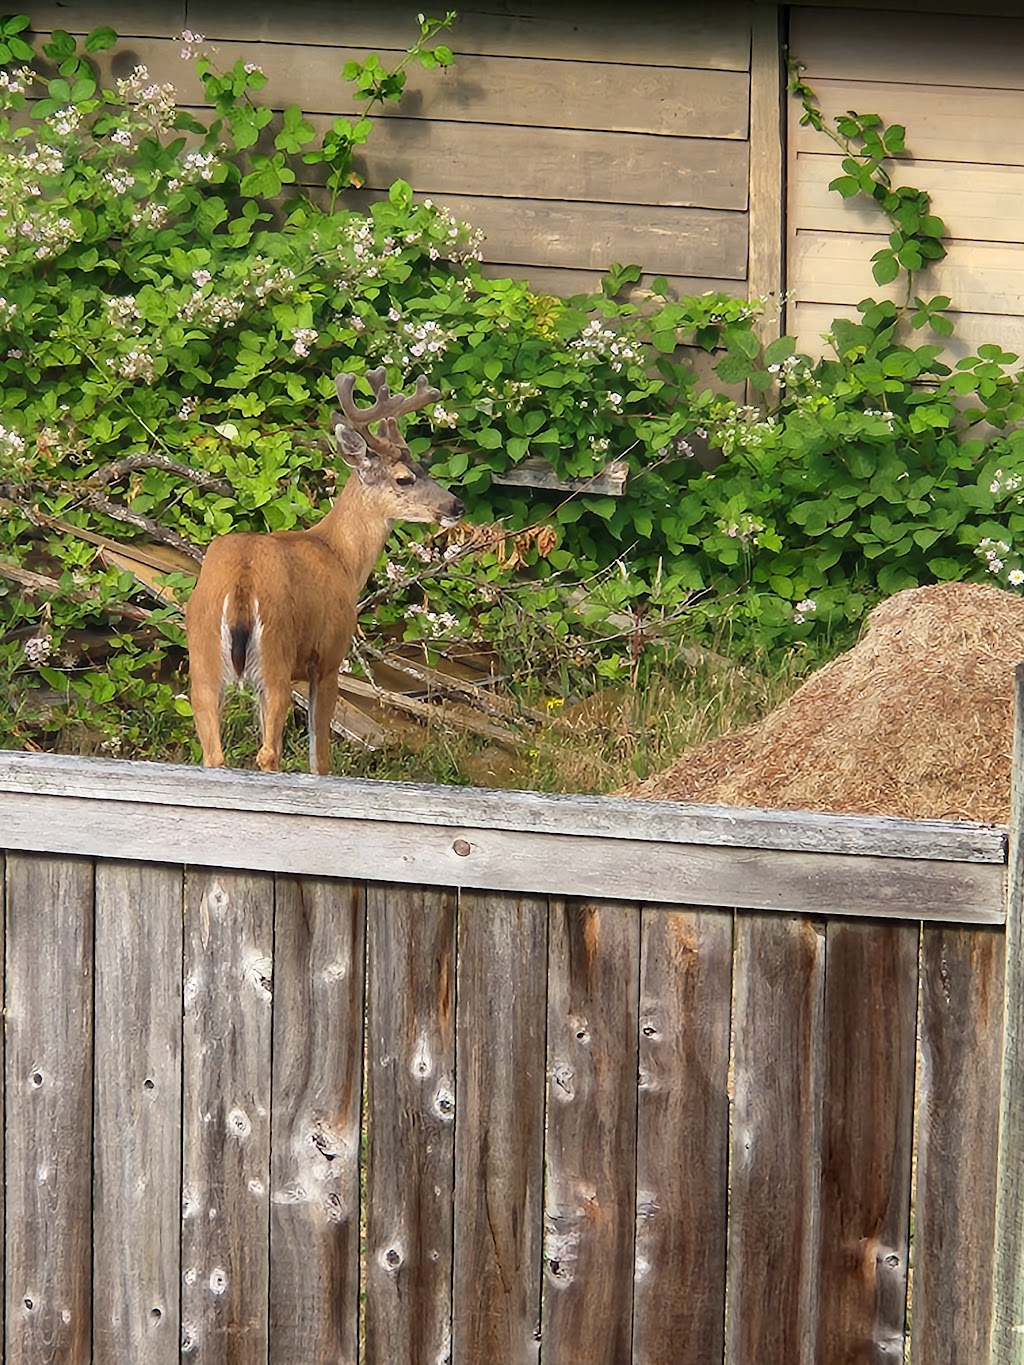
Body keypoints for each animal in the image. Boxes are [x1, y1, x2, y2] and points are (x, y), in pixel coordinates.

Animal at [187, 368, 466, 775]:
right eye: (404, 478)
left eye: (423, 469)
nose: (457, 506)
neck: (341, 557)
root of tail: (240, 585)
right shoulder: (330, 657)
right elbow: (320, 759)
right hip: (276, 653)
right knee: (268, 752)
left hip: (202, 655)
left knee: (213, 752)